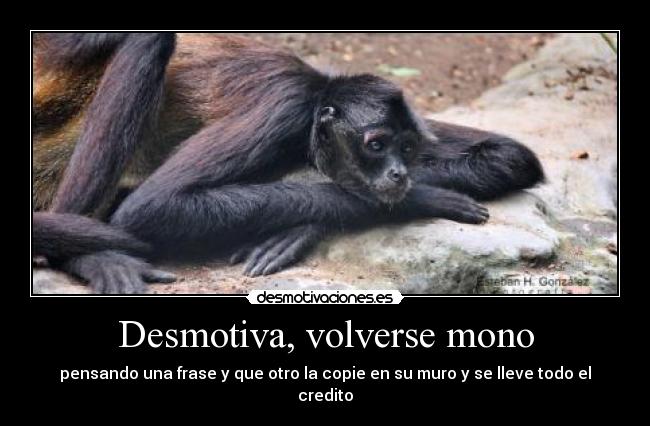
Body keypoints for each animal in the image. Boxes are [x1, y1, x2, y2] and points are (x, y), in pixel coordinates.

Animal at [32, 33, 544, 294]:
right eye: (377, 145)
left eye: (408, 149)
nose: (400, 173)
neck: (318, 92)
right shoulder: (284, 107)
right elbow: (152, 207)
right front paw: (422, 196)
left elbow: (511, 157)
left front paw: (299, 229)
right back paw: (94, 255)